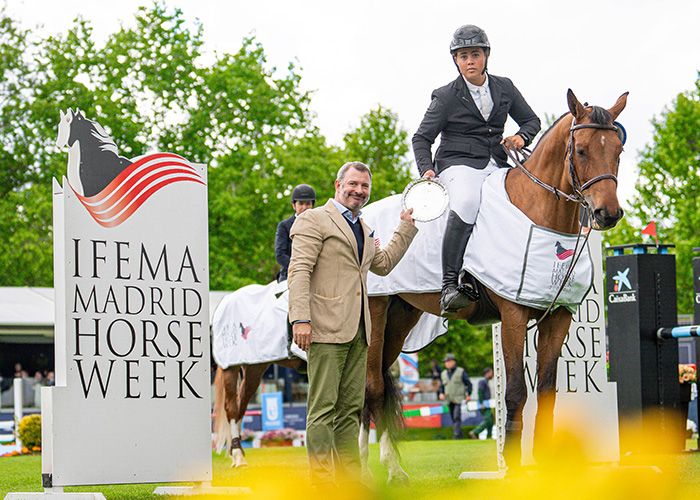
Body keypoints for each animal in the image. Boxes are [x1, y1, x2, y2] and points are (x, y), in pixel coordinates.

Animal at [364, 88, 628, 478]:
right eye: (580, 149)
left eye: (618, 151)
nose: (607, 214)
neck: (540, 214)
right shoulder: (513, 316)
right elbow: (516, 392)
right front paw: (515, 469)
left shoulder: (558, 318)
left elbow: (546, 392)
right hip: (374, 313)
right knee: (369, 387)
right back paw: (367, 471)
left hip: (401, 318)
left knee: (380, 384)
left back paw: (392, 468)